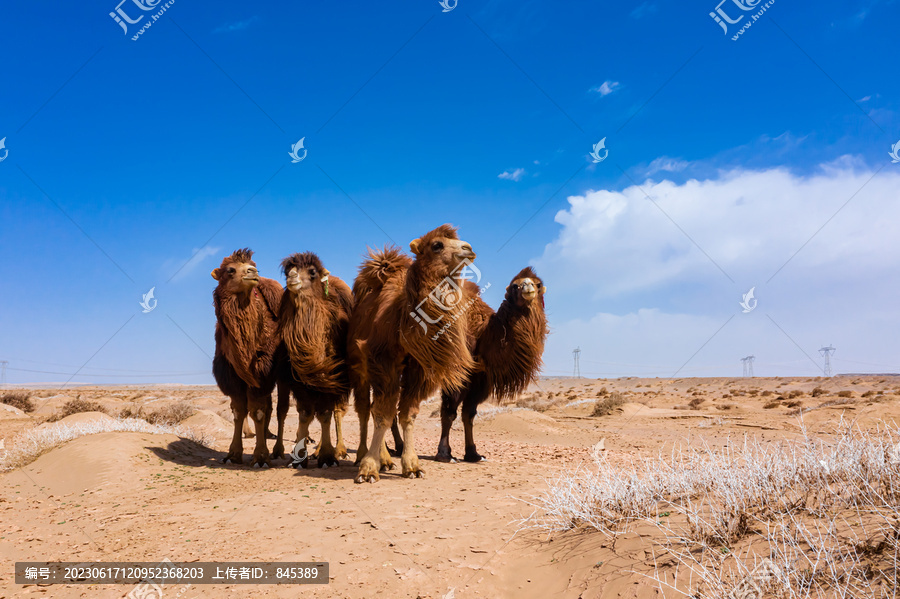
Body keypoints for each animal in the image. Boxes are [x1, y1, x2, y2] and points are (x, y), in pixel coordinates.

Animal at [211, 248, 284, 468]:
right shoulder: (231, 374)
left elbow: (257, 410)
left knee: (281, 409)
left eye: (252, 265)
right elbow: (238, 410)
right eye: (230, 270)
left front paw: (260, 457)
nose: (253, 272)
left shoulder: (262, 371)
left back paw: (280, 449)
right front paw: (233, 454)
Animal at [276, 251, 354, 466]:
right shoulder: (299, 381)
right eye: (287, 270)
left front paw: (328, 457)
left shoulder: (334, 379)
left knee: (337, 411)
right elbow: (305, 414)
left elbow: (326, 414)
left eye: (312, 272)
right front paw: (300, 458)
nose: (292, 276)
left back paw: (339, 450)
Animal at [348, 225, 478, 482]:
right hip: (360, 369)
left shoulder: (419, 368)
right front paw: (368, 468)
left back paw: (386, 459)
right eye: (437, 245)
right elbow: (383, 413)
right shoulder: (382, 359)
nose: (468, 248)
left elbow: (408, 413)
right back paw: (363, 456)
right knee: (365, 410)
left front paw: (412, 466)